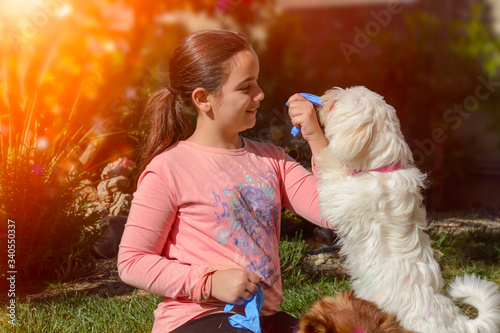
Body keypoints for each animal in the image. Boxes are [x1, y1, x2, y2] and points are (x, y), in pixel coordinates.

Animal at [316, 86, 500, 332]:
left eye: (338, 102)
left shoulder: (341, 198)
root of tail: (456, 322)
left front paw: (325, 151)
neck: (382, 169)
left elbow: (333, 171)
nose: (325, 96)